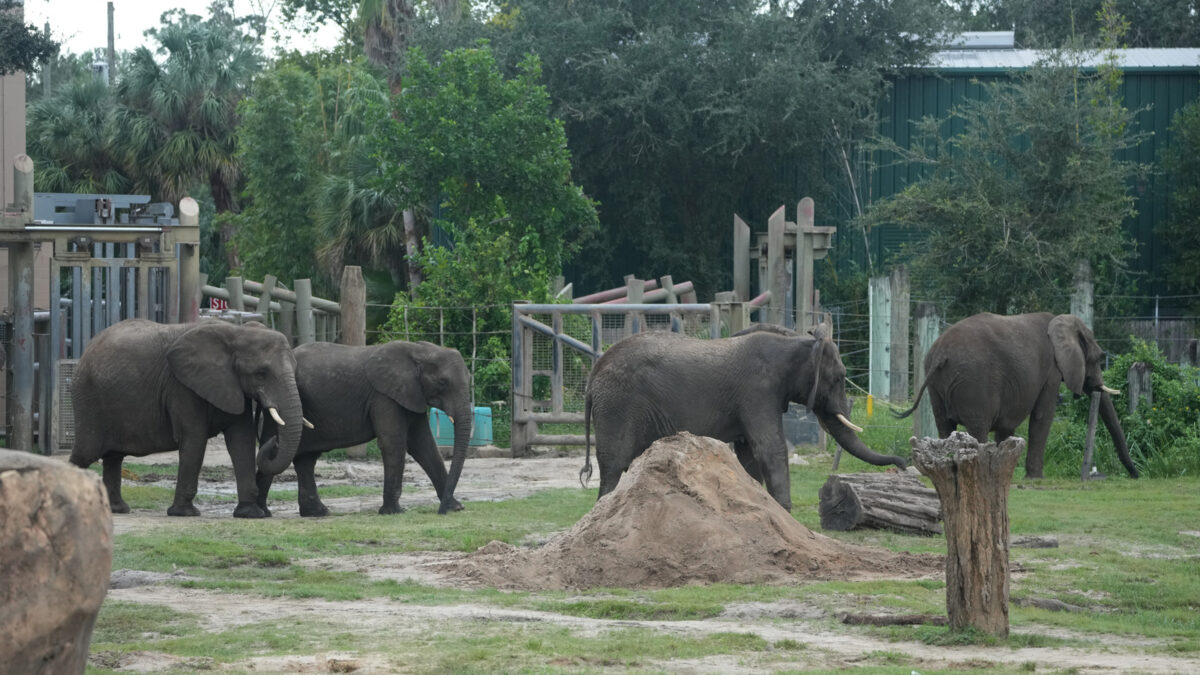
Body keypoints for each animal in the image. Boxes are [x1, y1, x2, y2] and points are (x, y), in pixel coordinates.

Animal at [69, 317, 304, 516]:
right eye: (261, 374)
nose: (273, 442)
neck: (237, 332)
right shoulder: (181, 386)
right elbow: (195, 437)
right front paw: (184, 513)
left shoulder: (233, 385)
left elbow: (241, 439)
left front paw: (249, 514)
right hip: (88, 397)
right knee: (85, 453)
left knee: (113, 457)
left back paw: (117, 509)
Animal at [255, 341, 470, 514]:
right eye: (443, 382)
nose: (440, 512)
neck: (420, 350)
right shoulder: (383, 396)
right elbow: (394, 444)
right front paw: (393, 512)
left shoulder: (412, 395)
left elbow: (424, 446)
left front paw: (455, 507)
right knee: (279, 450)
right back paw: (261, 512)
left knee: (306, 460)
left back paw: (316, 513)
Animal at [576, 321, 902, 509]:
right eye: (839, 378)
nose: (901, 465)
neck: (798, 341)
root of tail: (592, 379)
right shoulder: (757, 391)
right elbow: (770, 448)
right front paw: (785, 512)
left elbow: (749, 455)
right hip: (617, 405)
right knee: (614, 465)